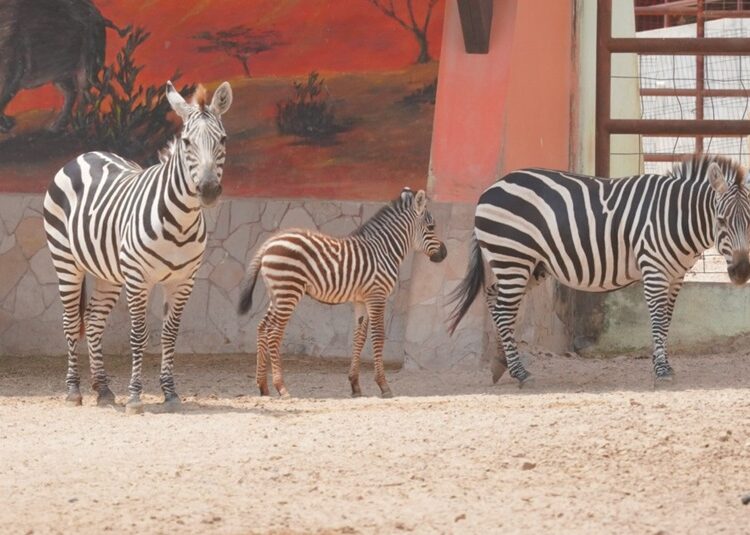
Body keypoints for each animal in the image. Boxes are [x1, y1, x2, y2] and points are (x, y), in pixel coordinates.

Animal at [43, 81, 233, 414]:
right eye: (186, 142)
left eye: (221, 139)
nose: (209, 190)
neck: (181, 222)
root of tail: (84, 155)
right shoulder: (138, 279)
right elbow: (139, 335)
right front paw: (135, 396)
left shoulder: (184, 281)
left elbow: (169, 334)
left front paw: (170, 392)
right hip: (65, 261)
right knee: (71, 322)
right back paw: (74, 390)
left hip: (106, 273)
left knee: (94, 321)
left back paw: (103, 389)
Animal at [237, 188, 447, 398]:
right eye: (431, 227)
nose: (445, 254)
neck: (384, 250)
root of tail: (269, 243)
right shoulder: (377, 296)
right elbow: (378, 336)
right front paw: (383, 385)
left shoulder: (361, 300)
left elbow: (359, 337)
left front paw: (355, 385)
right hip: (289, 290)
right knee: (273, 332)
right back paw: (282, 388)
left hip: (277, 293)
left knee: (262, 328)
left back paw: (263, 387)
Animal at [449, 155, 750, 386]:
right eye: (721, 221)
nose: (742, 272)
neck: (677, 217)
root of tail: (491, 187)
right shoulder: (654, 269)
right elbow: (656, 319)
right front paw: (662, 370)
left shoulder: (676, 276)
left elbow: (665, 321)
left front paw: (662, 364)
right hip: (513, 257)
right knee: (503, 310)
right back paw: (520, 372)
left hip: (528, 265)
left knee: (495, 299)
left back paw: (501, 364)